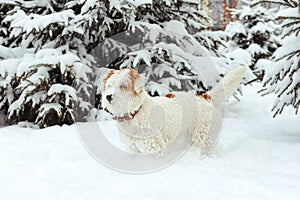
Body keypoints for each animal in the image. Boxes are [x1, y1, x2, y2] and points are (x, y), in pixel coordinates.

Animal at [101, 67, 246, 155]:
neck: (136, 112)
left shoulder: (154, 147)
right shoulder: (134, 148)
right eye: (109, 85)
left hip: (204, 137)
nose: (108, 97)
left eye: (123, 86)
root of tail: (206, 97)